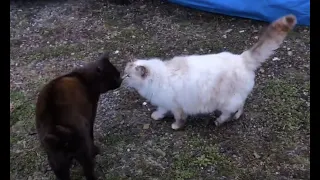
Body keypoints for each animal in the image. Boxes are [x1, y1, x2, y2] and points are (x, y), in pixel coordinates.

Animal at [122, 14, 298, 129]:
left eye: (128, 75)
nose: (121, 79)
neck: (157, 78)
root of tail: (242, 58)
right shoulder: (164, 103)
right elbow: (161, 110)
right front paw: (157, 116)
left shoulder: (176, 106)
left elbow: (179, 119)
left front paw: (175, 126)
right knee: (241, 105)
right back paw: (235, 116)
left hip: (226, 101)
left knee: (231, 110)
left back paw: (220, 121)